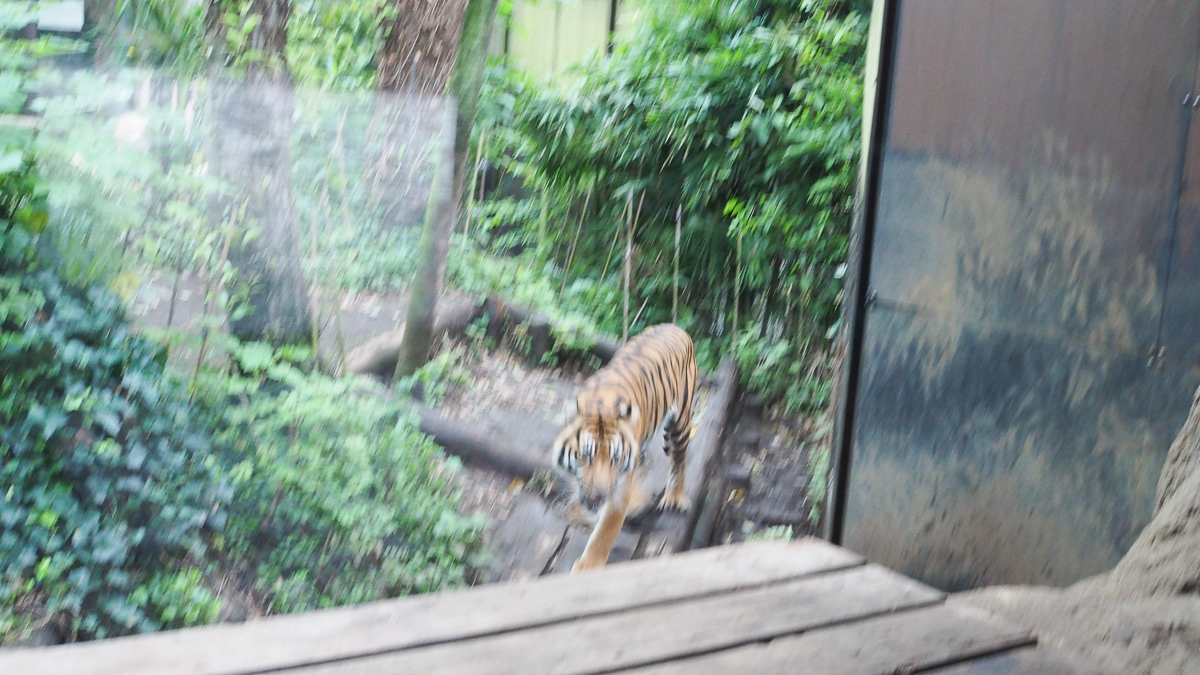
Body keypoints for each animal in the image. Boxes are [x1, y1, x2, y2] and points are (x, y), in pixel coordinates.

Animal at [549, 324, 696, 569]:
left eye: (615, 459)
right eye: (585, 456)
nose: (599, 496)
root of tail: (676, 327)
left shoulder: (619, 488)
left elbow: (604, 533)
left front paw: (587, 568)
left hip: (681, 420)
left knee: (679, 459)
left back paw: (674, 497)